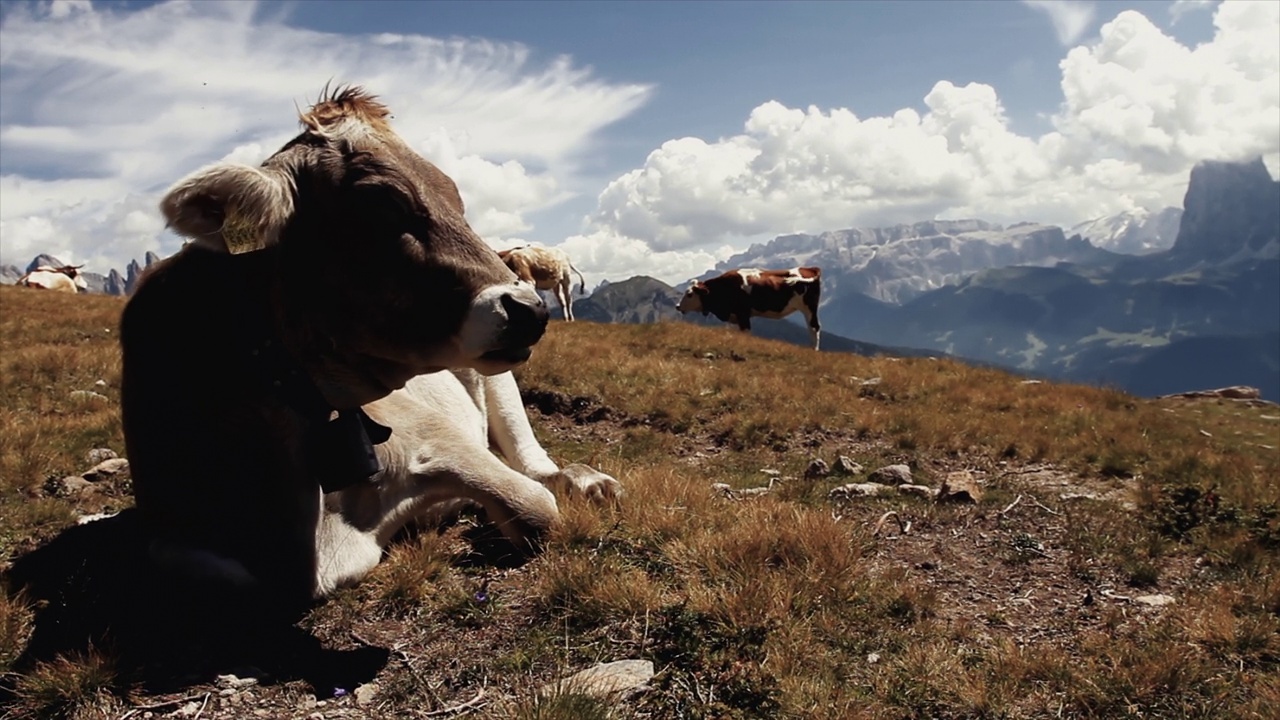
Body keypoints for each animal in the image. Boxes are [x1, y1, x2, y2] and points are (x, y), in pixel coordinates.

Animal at [124, 83, 619, 609]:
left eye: (456, 197)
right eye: (380, 203)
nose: (529, 310)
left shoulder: (441, 437)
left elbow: (536, 506)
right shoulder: (175, 537)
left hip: (499, 381)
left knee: (536, 464)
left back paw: (590, 482)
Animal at [675, 266, 824, 351]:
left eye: (689, 294)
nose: (677, 306)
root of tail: (811, 268)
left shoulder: (743, 314)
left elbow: (745, 331)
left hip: (809, 307)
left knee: (814, 327)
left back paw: (813, 350)